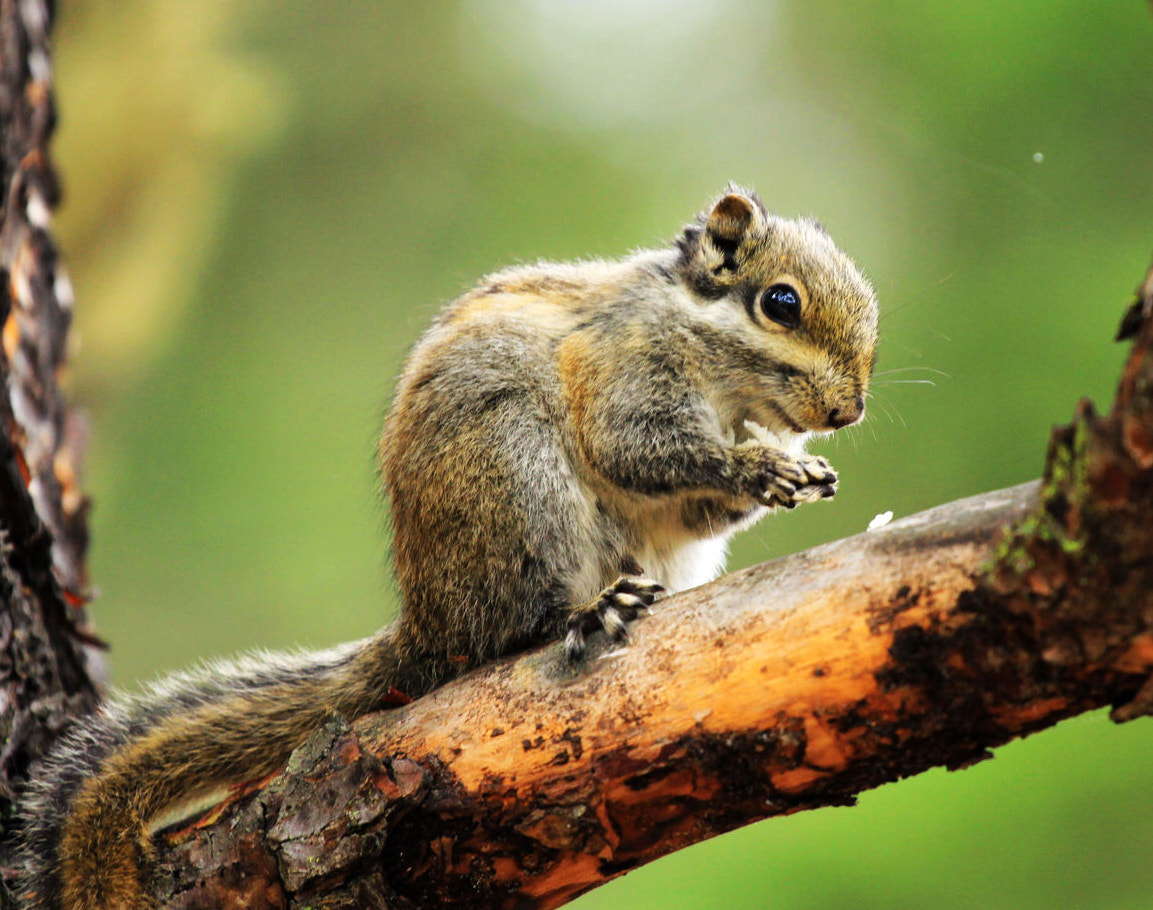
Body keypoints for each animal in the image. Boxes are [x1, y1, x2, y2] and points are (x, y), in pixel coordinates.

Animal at [15, 183, 871, 899]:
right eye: (780, 302)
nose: (848, 412)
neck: (718, 371)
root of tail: (428, 626)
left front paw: (799, 471)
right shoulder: (627, 370)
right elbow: (637, 447)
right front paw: (761, 465)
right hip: (516, 483)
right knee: (517, 627)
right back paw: (585, 611)